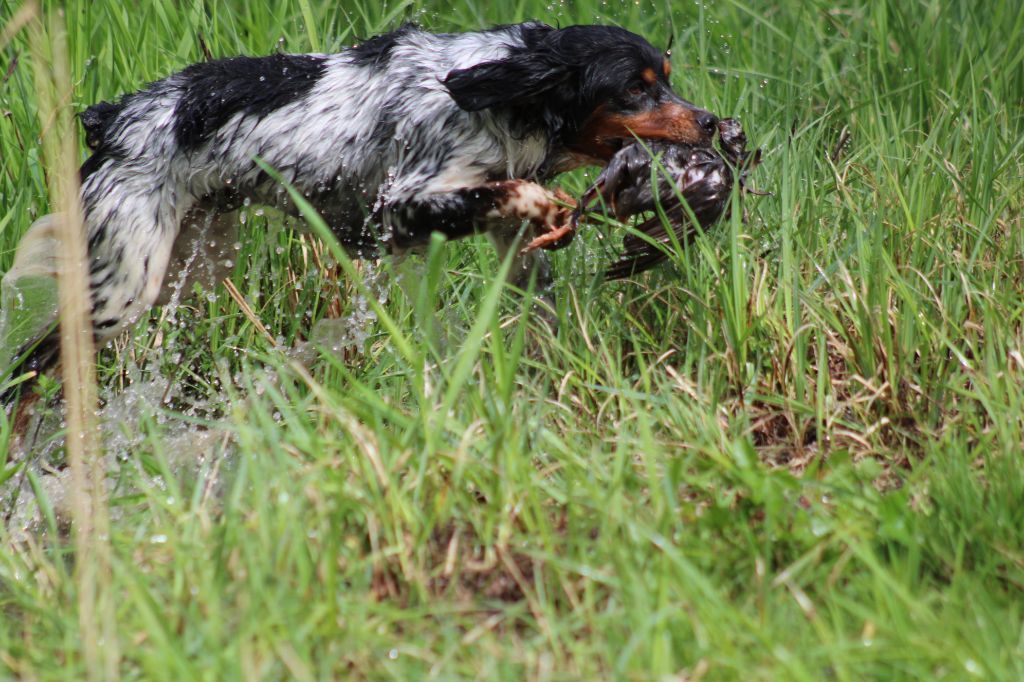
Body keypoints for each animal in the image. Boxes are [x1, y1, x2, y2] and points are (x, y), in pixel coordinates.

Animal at [4, 22, 716, 399]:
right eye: (635, 90)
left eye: (667, 77)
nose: (711, 122)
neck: (492, 93)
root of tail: (113, 119)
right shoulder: (397, 207)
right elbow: (504, 192)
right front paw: (550, 202)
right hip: (122, 285)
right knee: (29, 372)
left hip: (192, 256)